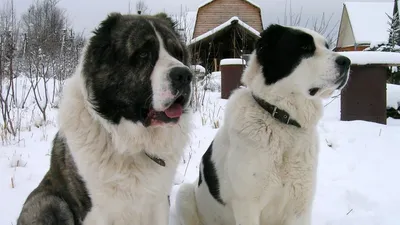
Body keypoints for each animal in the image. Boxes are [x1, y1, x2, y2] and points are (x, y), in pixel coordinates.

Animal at [175, 23, 350, 225]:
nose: (347, 61)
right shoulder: (247, 206)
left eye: (327, 46)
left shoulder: (299, 206)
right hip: (185, 193)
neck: (282, 120)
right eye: (305, 47)